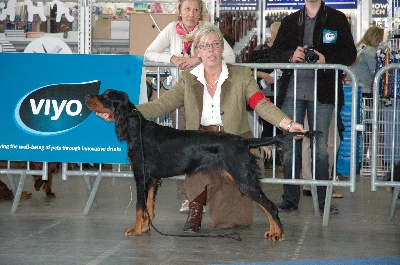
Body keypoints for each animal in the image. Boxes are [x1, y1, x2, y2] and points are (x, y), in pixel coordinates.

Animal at [85, 88, 312, 239]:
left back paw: (277, 233)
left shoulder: (140, 176)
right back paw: (273, 231)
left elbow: (140, 206)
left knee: (270, 205)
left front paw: (134, 230)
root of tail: (242, 141)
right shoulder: (151, 178)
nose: (87, 96)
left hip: (244, 179)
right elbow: (148, 206)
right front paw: (145, 228)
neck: (136, 129)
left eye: (106, 96)